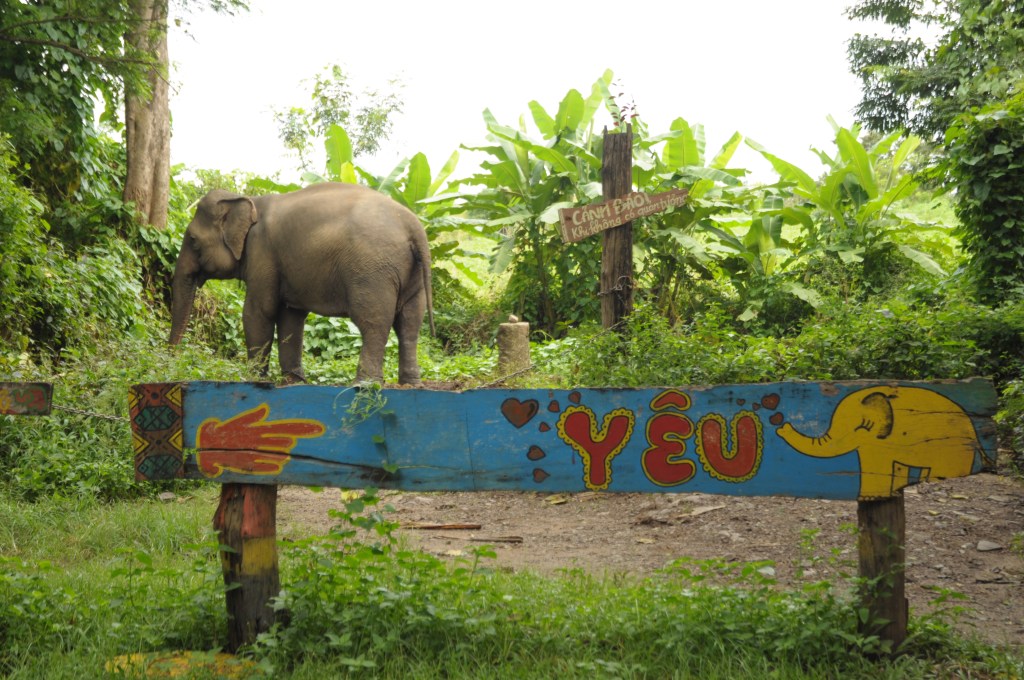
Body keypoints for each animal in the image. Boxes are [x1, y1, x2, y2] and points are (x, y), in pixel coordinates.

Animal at [169, 182, 434, 385]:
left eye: (193, 240)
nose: (174, 357)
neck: (250, 200)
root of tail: (415, 227)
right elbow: (291, 317)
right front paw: (293, 381)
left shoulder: (263, 253)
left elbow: (258, 312)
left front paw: (254, 380)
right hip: (412, 276)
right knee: (410, 324)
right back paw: (411, 384)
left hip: (372, 271)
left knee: (374, 322)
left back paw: (365, 384)